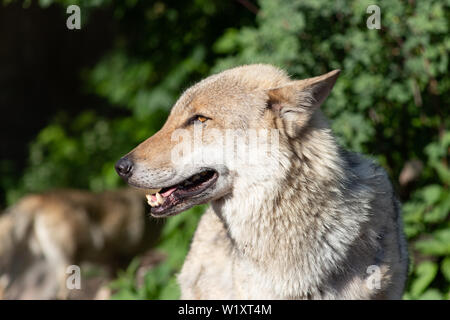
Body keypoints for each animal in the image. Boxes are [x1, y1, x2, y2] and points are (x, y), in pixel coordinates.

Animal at [0, 188, 161, 300]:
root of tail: (38, 198)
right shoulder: (123, 261)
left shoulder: (111, 265)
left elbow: (104, 294)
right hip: (67, 269)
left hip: (36, 281)